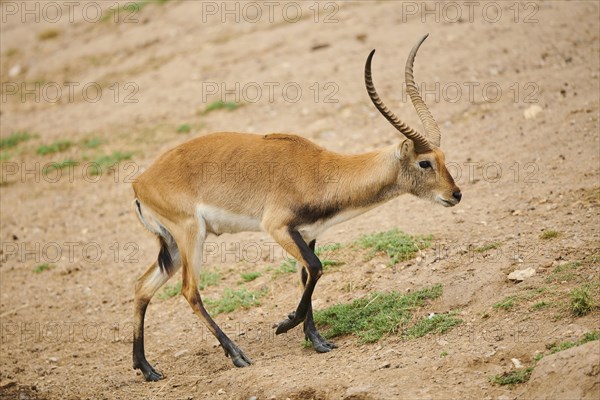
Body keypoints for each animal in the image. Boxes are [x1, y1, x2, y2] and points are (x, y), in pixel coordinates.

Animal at [130, 34, 460, 382]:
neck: (321, 171)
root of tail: (140, 182)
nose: (455, 194)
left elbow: (307, 275)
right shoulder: (277, 228)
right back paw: (236, 355)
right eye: (425, 162)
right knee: (190, 290)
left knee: (142, 286)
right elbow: (316, 267)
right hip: (191, 235)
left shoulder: (307, 233)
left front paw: (317, 340)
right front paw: (285, 324)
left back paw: (147, 369)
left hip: (173, 245)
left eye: (443, 158)